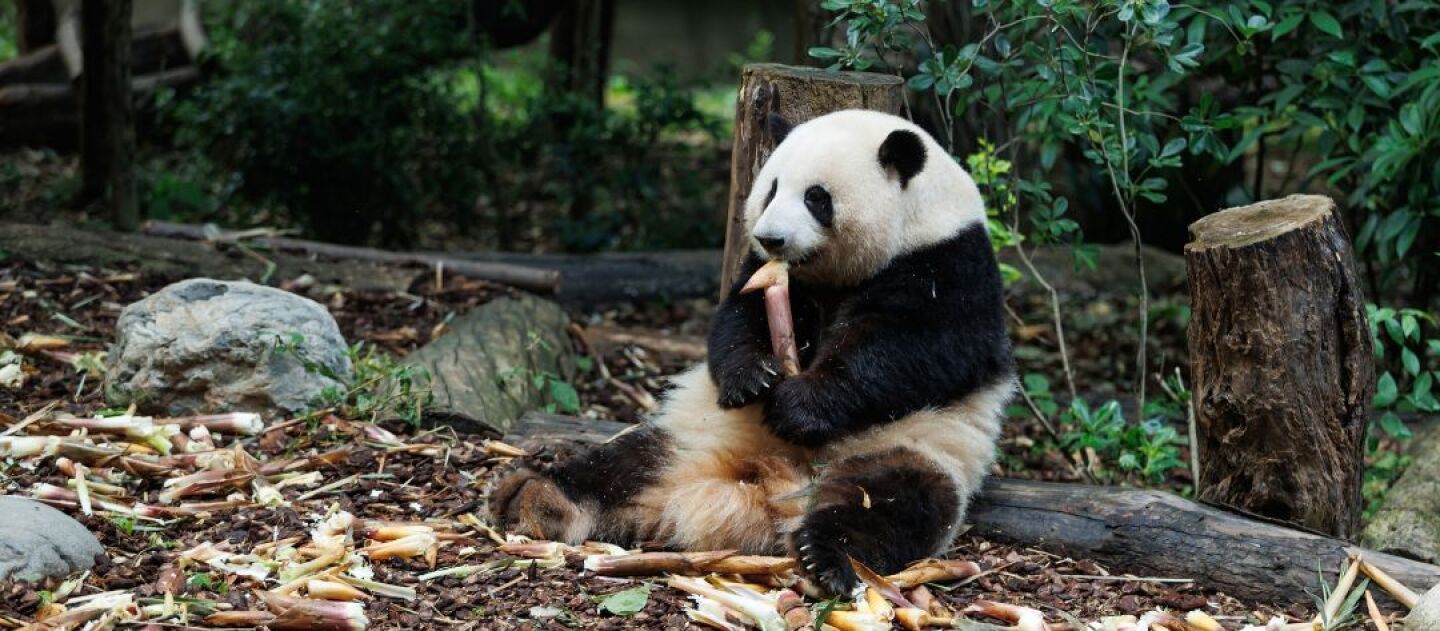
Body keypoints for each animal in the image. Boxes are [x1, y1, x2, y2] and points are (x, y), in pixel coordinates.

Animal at [491, 109, 1015, 595]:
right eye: (772, 189)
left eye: (816, 197)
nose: (771, 237)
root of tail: (764, 478)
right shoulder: (767, 272)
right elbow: (737, 318)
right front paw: (753, 379)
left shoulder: (951, 267)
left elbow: (918, 351)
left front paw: (799, 405)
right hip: (690, 434)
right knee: (620, 465)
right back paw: (534, 496)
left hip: (914, 446)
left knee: (892, 503)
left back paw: (824, 557)